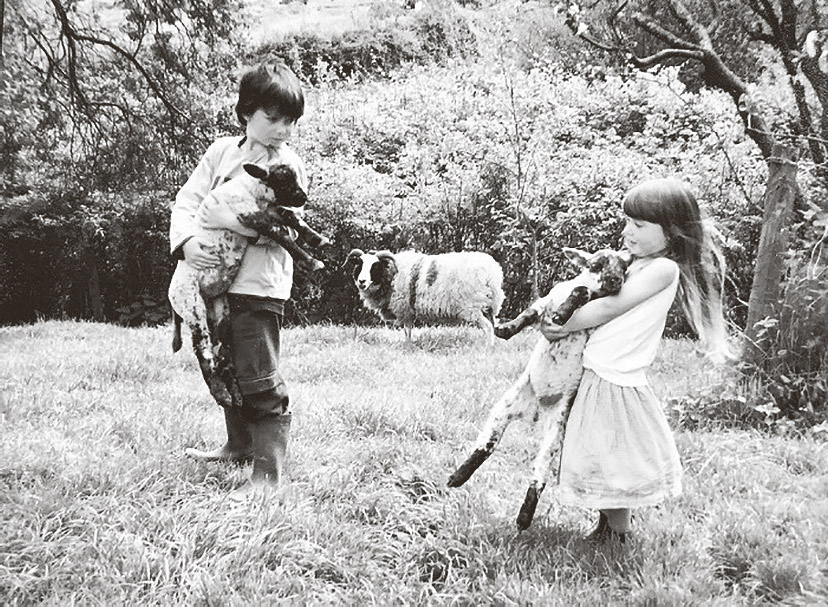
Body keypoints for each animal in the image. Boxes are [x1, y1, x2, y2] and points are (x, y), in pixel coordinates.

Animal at [344, 248, 502, 342]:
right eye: (359, 265)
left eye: (375, 266)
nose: (362, 281)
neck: (391, 276)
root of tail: (492, 273)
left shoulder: (405, 310)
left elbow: (407, 331)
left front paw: (407, 346)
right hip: (488, 306)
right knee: (492, 326)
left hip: (473, 307)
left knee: (488, 327)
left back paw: (487, 348)